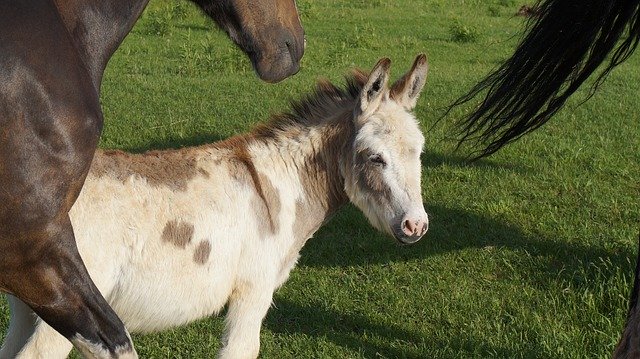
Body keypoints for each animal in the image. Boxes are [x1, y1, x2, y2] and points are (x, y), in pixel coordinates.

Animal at [1, 54, 430, 359]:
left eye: (420, 152)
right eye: (375, 158)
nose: (417, 227)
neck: (282, 185)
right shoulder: (253, 291)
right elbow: (243, 350)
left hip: (30, 302)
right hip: (71, 304)